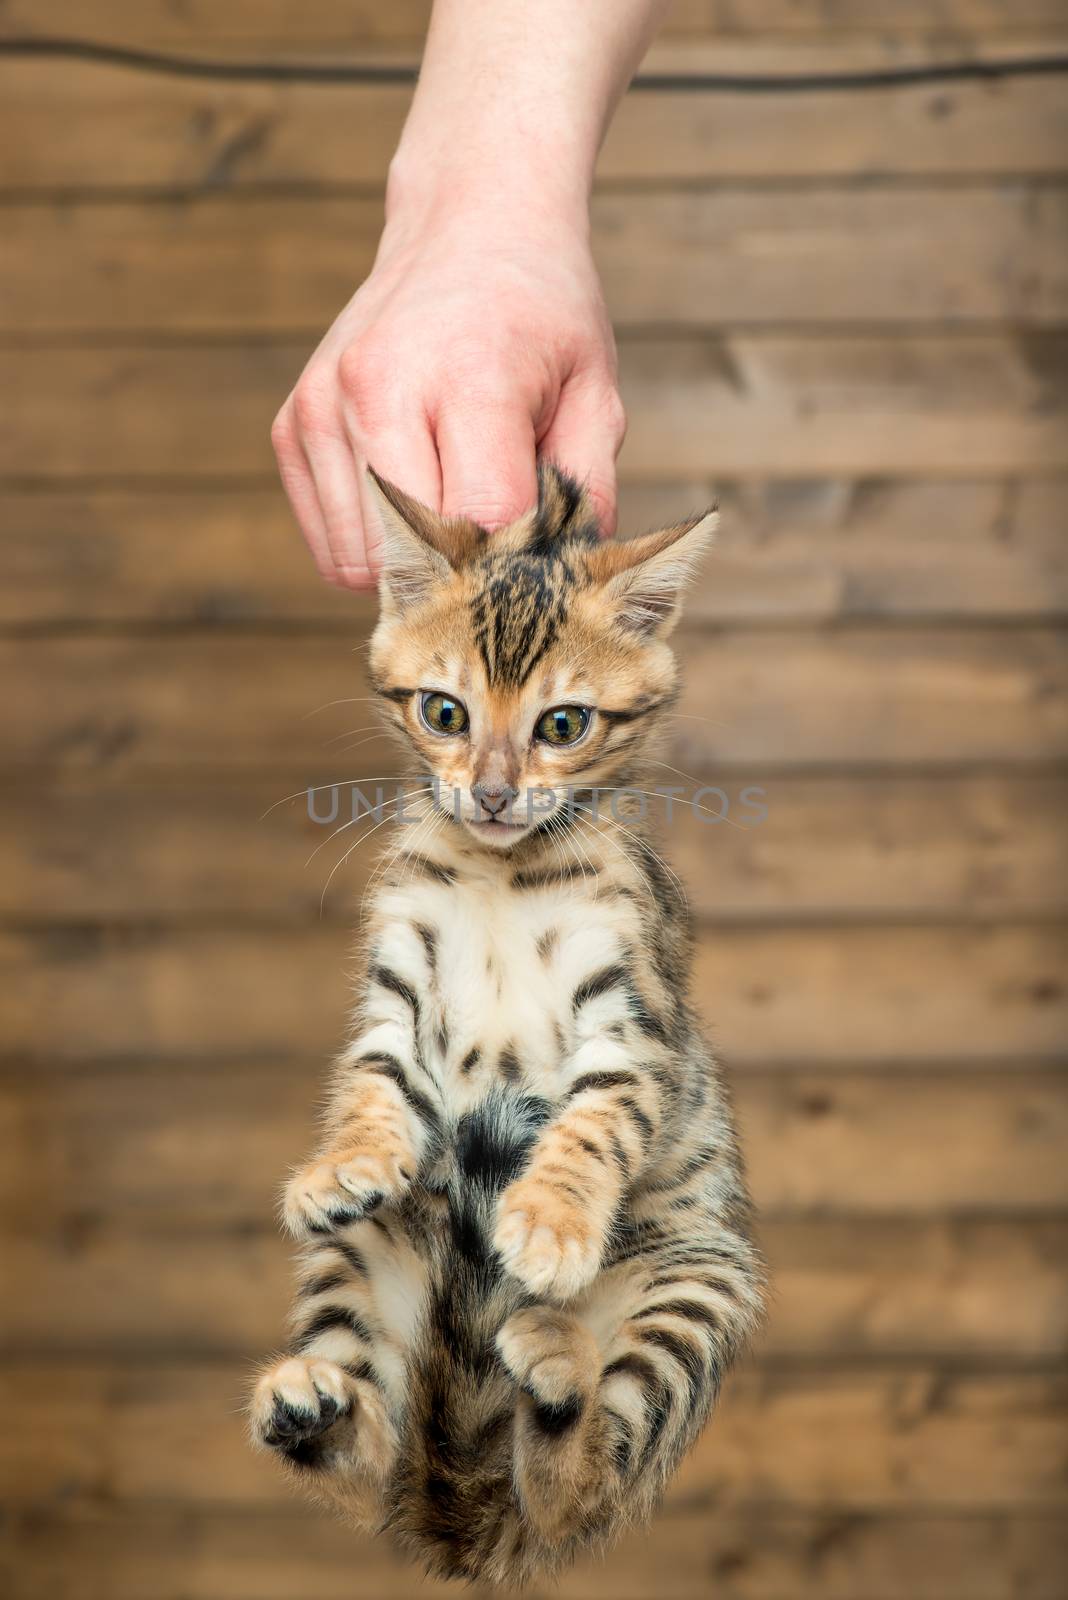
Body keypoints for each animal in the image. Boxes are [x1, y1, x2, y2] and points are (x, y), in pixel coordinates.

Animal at [247, 467, 767, 1587]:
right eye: (444, 712)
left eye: (563, 725)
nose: (489, 792)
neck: (501, 877)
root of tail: (466, 1502)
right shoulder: (397, 997)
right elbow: (371, 1087)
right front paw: (342, 1158)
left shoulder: (632, 1023)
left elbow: (597, 1122)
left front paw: (553, 1221)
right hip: (364, 1256)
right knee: (369, 1468)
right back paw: (313, 1406)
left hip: (692, 1289)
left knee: (581, 1483)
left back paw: (557, 1368)